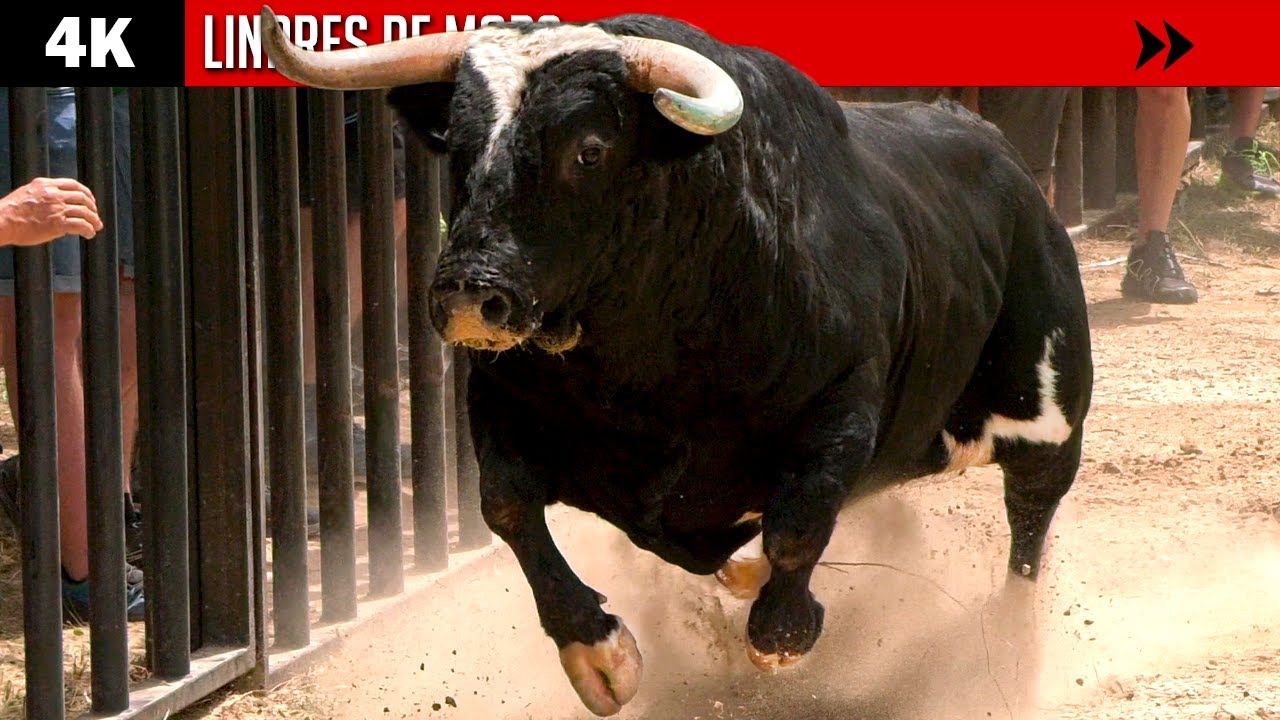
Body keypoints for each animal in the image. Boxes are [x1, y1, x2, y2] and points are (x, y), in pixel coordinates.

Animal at [262, 8, 1094, 717]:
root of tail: (1009, 165)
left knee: (1029, 522)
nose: (471, 290)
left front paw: (782, 632)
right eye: (460, 149)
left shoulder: (841, 403)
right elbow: (508, 507)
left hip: (1050, 416)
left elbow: (798, 528)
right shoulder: (497, 399)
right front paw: (598, 655)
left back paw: (1009, 642)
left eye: (589, 150)